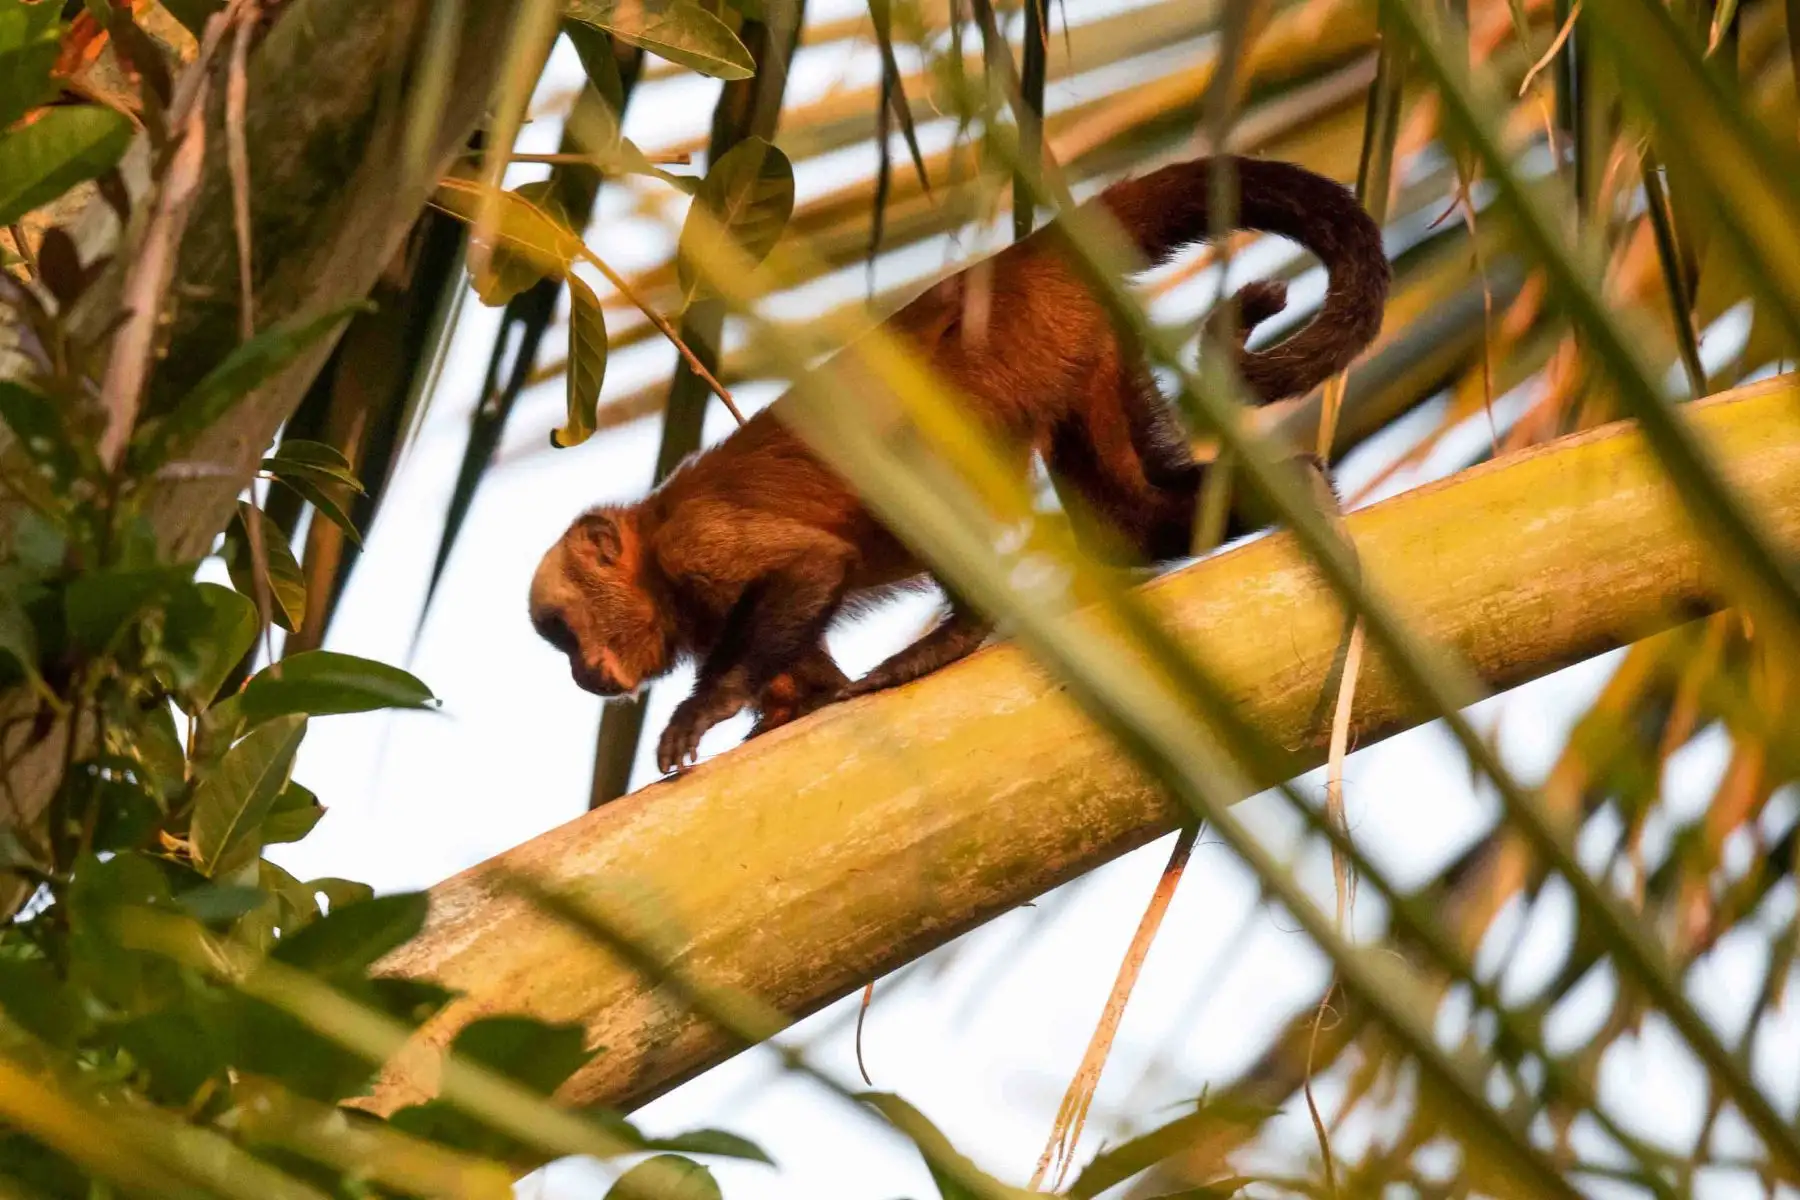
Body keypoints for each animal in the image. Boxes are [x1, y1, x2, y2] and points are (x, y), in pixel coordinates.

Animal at [528, 153, 1391, 775]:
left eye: (565, 635)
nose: (578, 676)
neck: (651, 553)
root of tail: (1025, 256)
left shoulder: (696, 545)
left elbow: (810, 566)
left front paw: (704, 711)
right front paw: (790, 706)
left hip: (1007, 341)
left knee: (924, 472)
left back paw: (955, 635)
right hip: (1080, 338)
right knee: (1129, 520)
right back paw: (1300, 491)